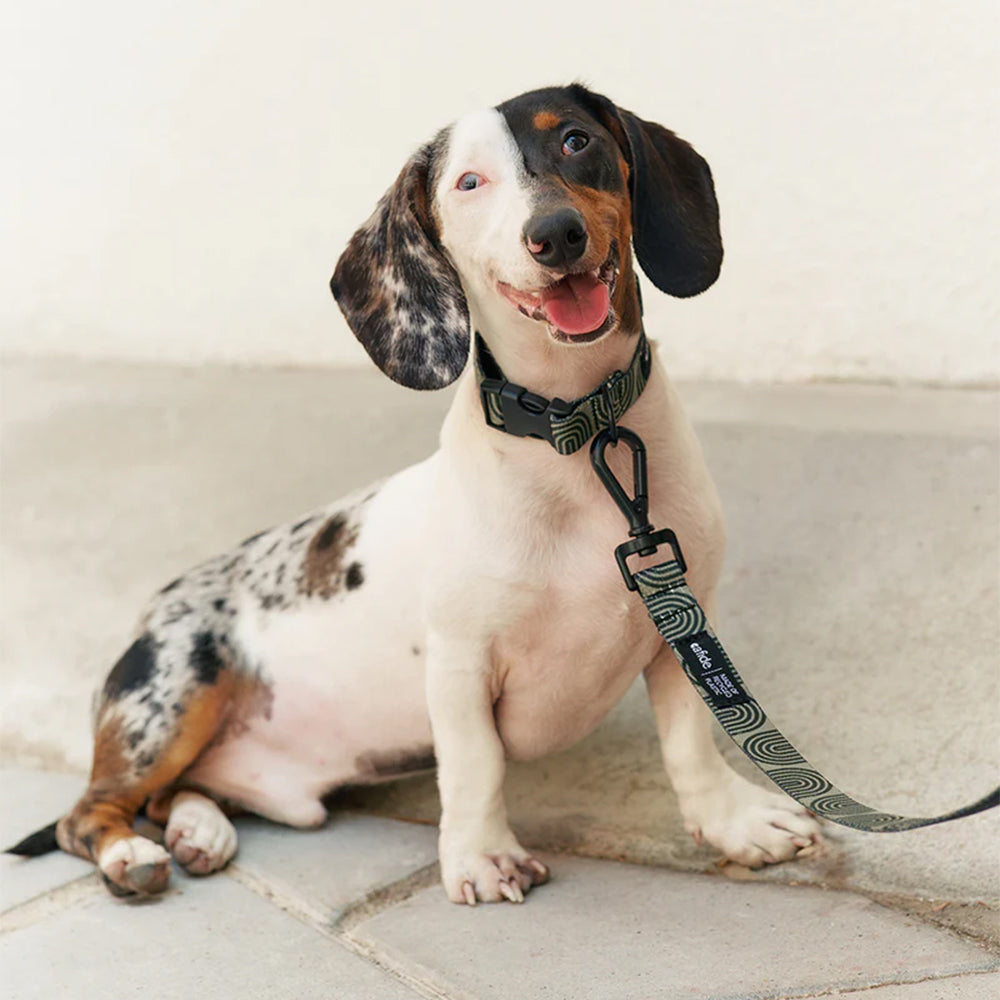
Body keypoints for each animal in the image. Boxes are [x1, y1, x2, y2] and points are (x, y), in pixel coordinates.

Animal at [9, 82, 820, 904]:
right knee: (92, 813)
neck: (575, 429)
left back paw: (197, 829)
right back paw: (132, 854)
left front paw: (734, 823)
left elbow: (689, 739)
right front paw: (484, 856)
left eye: (576, 140)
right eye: (468, 183)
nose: (554, 234)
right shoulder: (461, 662)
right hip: (171, 701)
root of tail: (157, 607)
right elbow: (475, 765)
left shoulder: (683, 623)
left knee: (175, 795)